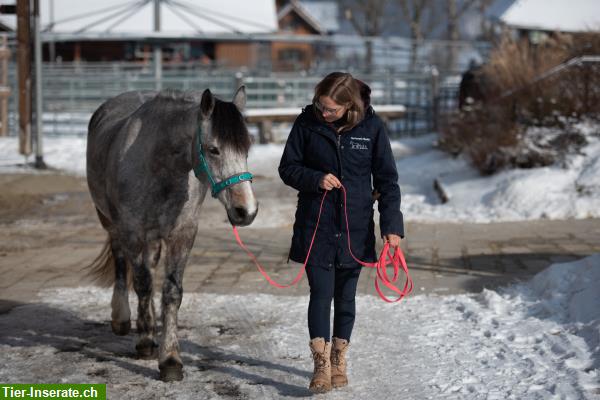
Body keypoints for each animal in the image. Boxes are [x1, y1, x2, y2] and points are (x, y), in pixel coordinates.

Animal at [85, 87, 258, 382]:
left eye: (246, 148)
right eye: (214, 149)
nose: (246, 210)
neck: (159, 164)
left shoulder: (182, 234)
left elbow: (171, 292)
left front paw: (170, 359)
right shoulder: (132, 231)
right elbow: (142, 284)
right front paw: (145, 342)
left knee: (150, 266)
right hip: (110, 221)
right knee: (121, 261)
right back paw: (123, 318)